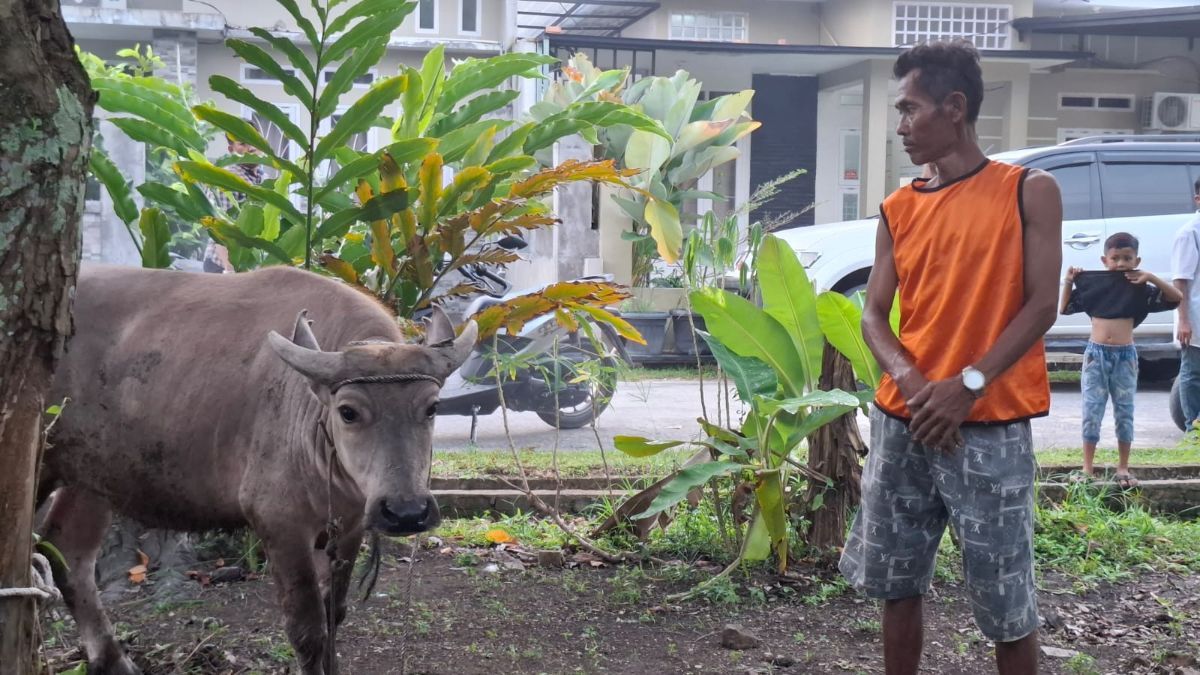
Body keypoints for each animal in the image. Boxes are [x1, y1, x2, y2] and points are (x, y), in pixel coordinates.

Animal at [36, 264, 472, 672]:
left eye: (432, 407)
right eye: (348, 412)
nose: (406, 512)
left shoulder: (348, 527)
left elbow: (335, 615)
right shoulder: (280, 523)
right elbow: (308, 629)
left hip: (90, 477)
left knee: (69, 553)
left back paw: (113, 659)